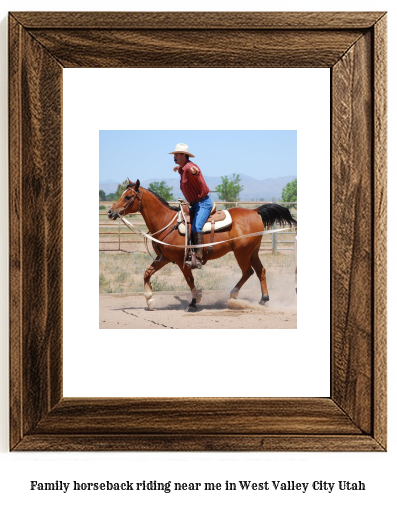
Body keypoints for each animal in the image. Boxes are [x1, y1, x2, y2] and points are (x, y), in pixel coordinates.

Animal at [106, 181, 296, 312]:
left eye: (128, 196)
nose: (110, 211)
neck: (167, 222)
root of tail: (254, 211)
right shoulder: (164, 258)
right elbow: (147, 273)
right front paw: (149, 300)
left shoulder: (182, 261)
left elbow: (190, 280)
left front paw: (193, 302)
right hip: (252, 251)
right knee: (260, 271)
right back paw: (263, 299)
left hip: (242, 252)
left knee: (248, 271)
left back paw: (234, 295)